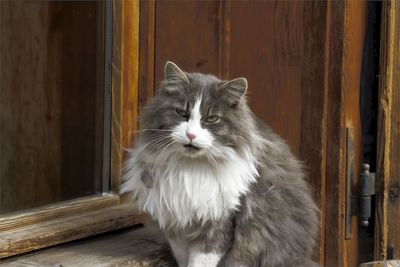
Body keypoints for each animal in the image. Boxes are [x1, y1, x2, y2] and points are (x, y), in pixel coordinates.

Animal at [122, 61, 318, 266]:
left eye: (211, 119)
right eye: (181, 113)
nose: (191, 135)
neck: (191, 169)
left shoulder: (219, 224)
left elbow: (200, 261)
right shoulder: (177, 225)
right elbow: (184, 260)